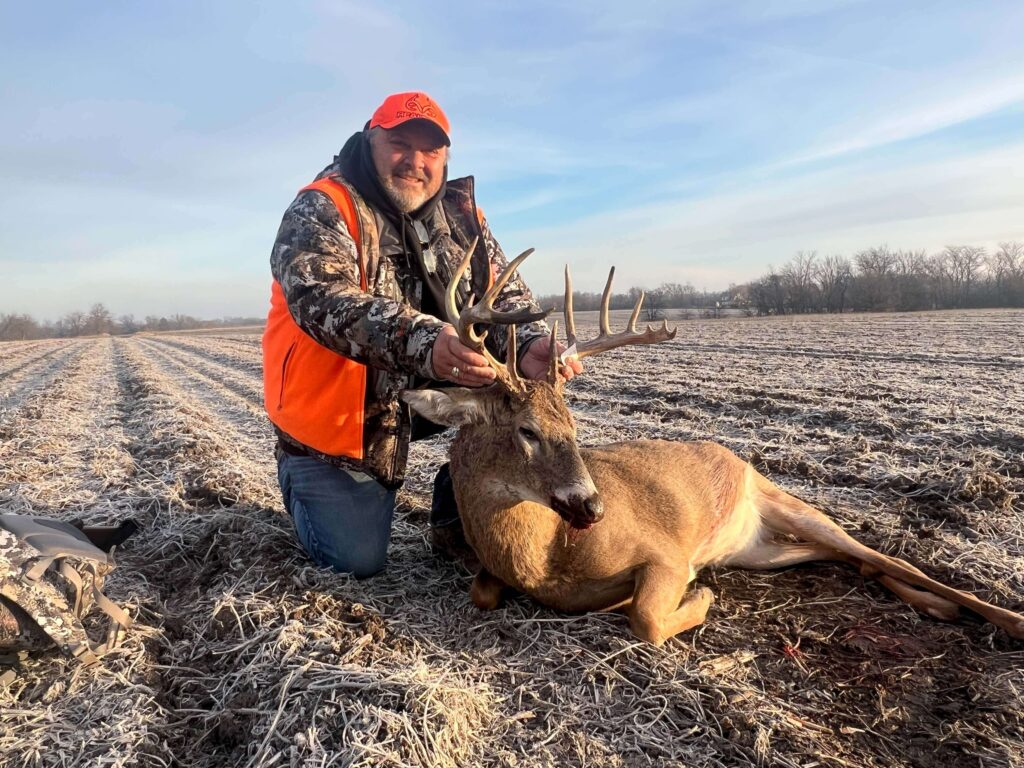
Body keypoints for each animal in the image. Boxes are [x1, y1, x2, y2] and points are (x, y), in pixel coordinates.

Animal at [399, 249, 1024, 647]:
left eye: (574, 425)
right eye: (527, 430)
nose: (593, 506)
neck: (548, 558)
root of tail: (734, 457)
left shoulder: (665, 554)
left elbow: (647, 618)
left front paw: (697, 598)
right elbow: (482, 592)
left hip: (786, 502)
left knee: (884, 555)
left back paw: (1002, 618)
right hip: (759, 548)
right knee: (851, 560)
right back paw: (937, 605)